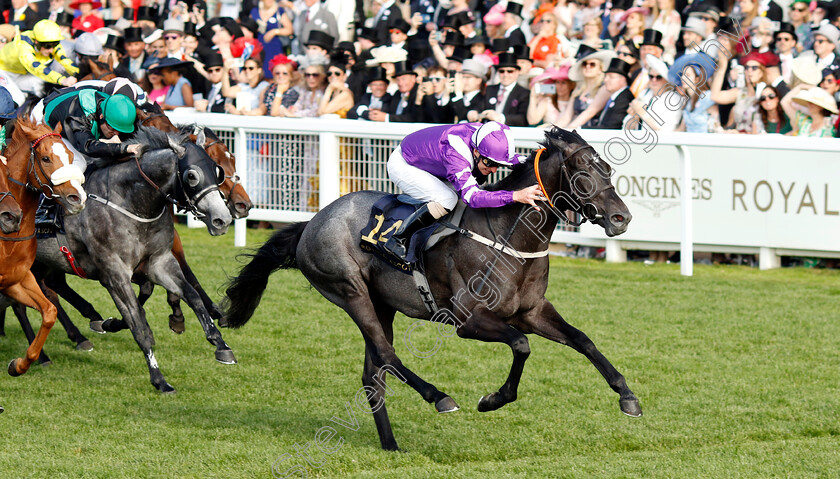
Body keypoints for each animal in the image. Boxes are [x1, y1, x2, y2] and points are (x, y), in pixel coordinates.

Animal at [2, 117, 84, 378]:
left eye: (70, 155)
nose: (77, 198)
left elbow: (49, 311)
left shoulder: (16, 278)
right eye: (46, 158)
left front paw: (20, 364)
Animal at [33, 127, 233, 394]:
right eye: (192, 175)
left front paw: (221, 345)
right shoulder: (114, 275)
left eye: (216, 170)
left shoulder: (160, 262)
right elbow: (139, 324)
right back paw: (44, 354)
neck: (129, 203)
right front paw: (159, 379)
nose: (223, 220)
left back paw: (88, 325)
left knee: (51, 287)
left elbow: (192, 296)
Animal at [223, 127, 644, 450]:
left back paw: (391, 445)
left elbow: (583, 340)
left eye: (607, 167)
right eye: (582, 169)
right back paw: (439, 398)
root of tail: (311, 222)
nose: (622, 219)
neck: (510, 238)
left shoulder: (532, 311)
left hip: (382, 304)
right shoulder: (469, 320)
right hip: (350, 292)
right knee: (388, 356)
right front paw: (492, 400)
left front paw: (628, 397)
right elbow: (521, 346)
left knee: (373, 374)